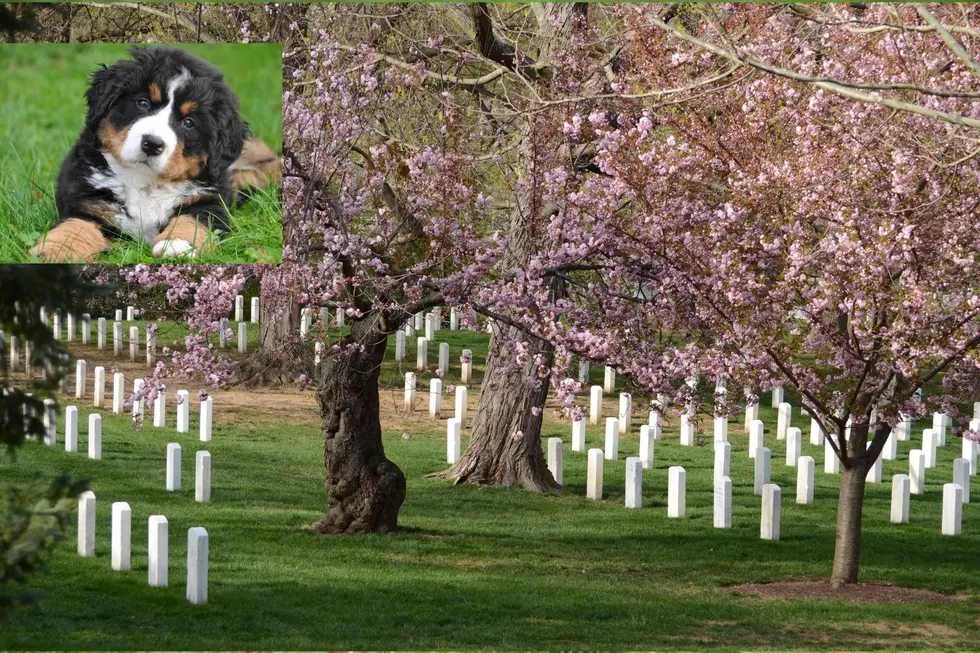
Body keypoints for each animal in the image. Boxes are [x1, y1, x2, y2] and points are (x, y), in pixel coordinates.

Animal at [34, 45, 280, 262]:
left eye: (189, 123)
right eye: (142, 103)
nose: (152, 144)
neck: (146, 183)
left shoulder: (209, 201)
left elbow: (192, 220)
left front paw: (177, 244)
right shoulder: (88, 201)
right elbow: (75, 228)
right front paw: (53, 251)